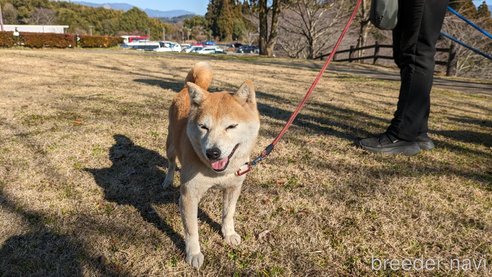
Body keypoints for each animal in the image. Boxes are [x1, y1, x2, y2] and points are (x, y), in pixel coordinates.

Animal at [162, 62, 262, 268]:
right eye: (203, 127)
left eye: (231, 126)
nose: (212, 152)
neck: (218, 174)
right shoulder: (188, 196)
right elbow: (192, 230)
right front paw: (193, 254)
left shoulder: (233, 187)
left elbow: (228, 213)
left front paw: (229, 234)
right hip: (170, 146)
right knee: (170, 164)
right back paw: (167, 180)